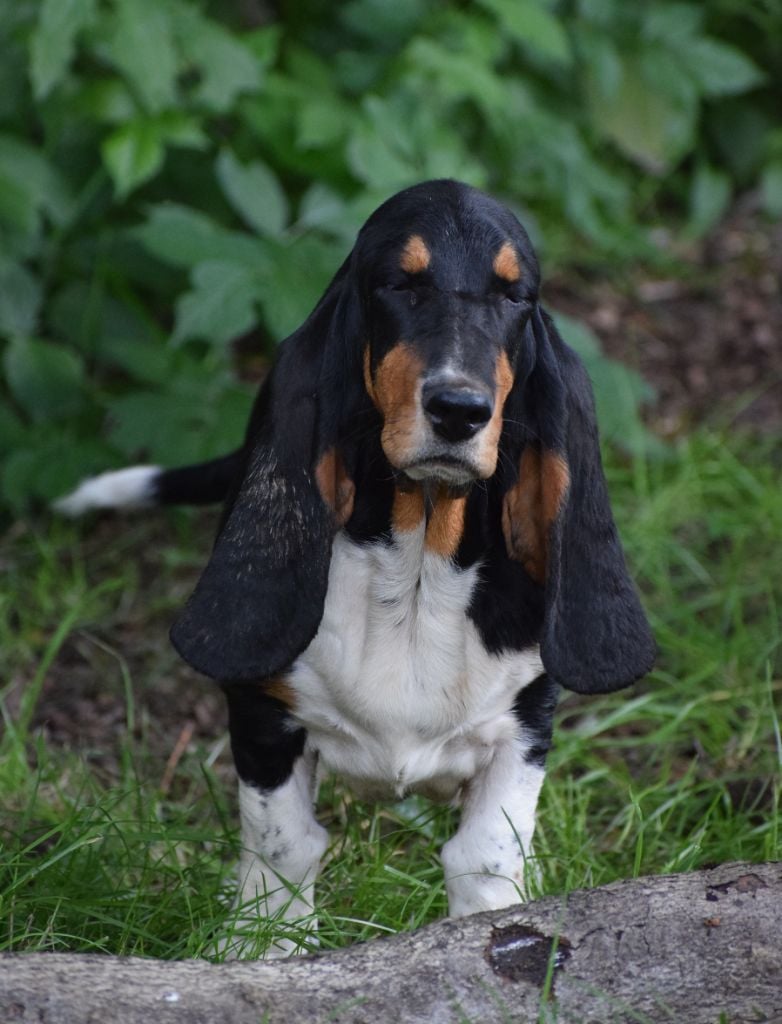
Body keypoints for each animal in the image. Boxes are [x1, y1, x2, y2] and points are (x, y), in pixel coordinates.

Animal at [56, 180, 655, 954]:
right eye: (399, 284)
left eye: (514, 296)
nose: (459, 409)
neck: (419, 562)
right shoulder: (263, 716)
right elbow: (284, 846)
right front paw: (266, 948)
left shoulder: (526, 723)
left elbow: (487, 853)